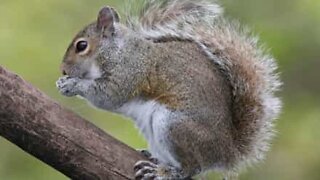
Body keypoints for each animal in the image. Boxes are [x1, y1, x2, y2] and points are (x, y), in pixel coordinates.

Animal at [56, 0, 282, 179]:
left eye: (81, 45)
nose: (64, 69)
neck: (117, 51)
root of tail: (228, 151)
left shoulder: (129, 73)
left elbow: (107, 96)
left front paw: (71, 84)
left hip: (173, 126)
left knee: (193, 168)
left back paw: (165, 173)